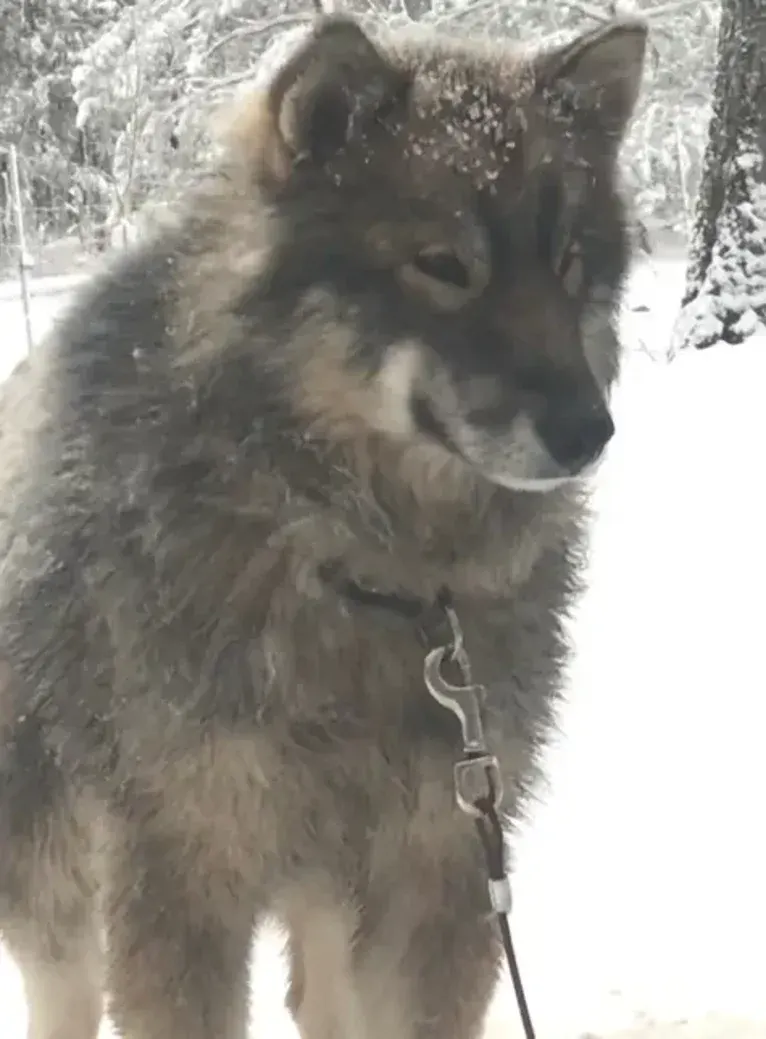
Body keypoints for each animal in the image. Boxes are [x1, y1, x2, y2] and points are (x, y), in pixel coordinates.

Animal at [0, 14, 644, 1039]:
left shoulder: (439, 870)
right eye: (444, 265)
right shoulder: (182, 880)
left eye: (572, 262)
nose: (590, 432)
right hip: (56, 888)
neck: (359, 571)